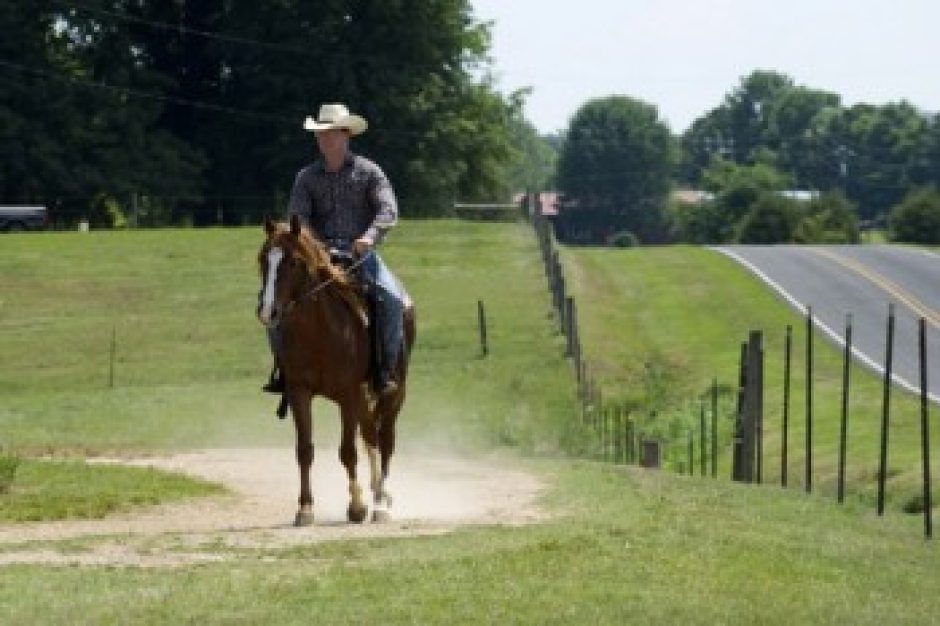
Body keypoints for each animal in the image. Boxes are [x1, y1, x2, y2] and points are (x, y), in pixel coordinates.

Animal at [255, 217, 414, 524]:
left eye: (293, 262)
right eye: (263, 260)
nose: (268, 311)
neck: (320, 332)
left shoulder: (348, 394)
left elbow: (348, 451)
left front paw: (357, 507)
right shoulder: (299, 392)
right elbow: (305, 450)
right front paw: (305, 509)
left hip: (394, 393)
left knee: (385, 439)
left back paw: (381, 504)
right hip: (364, 398)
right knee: (371, 435)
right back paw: (377, 490)